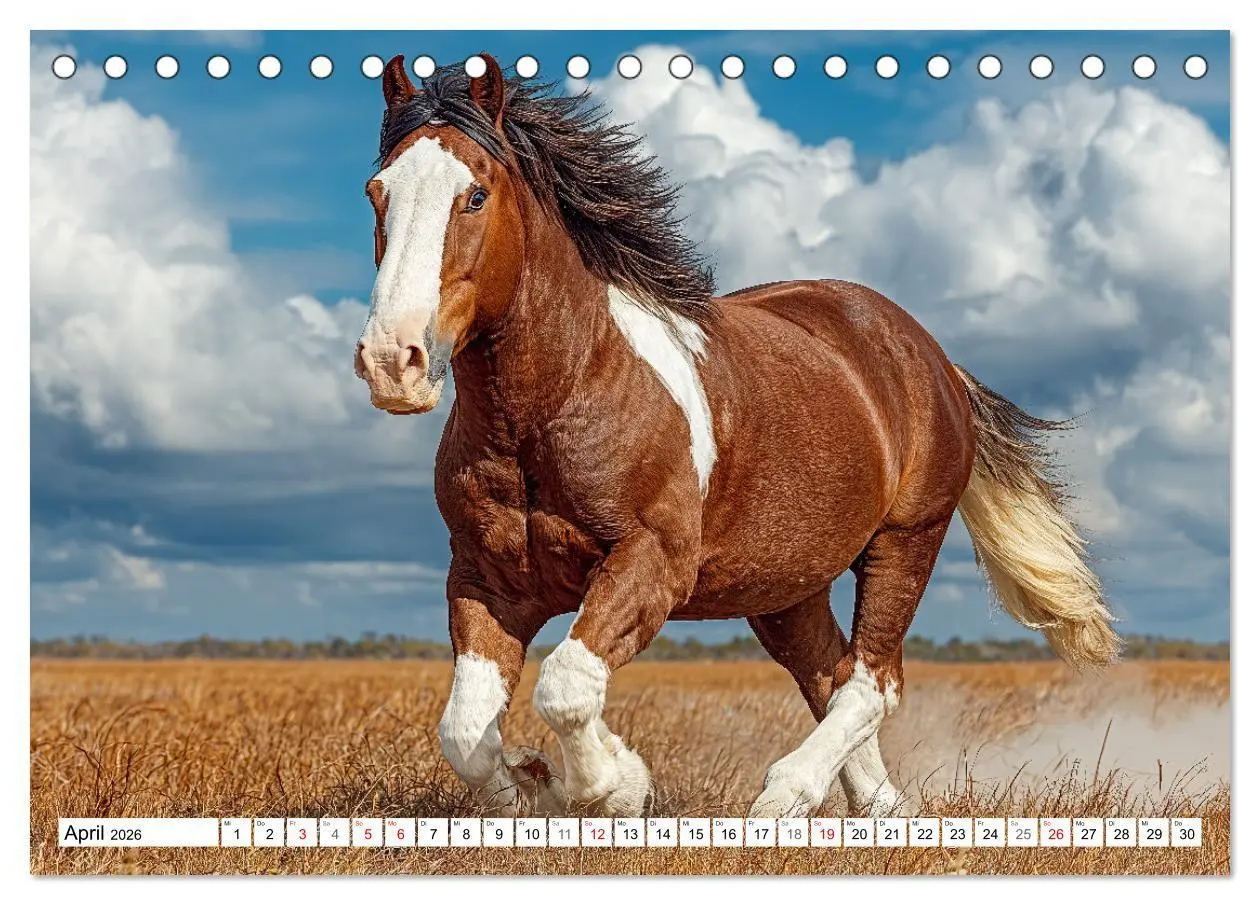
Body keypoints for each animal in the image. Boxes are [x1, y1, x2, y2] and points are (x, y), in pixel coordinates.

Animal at [353, 53, 1120, 818]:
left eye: (476, 195)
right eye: (376, 192)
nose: (394, 360)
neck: (551, 408)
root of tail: (934, 359)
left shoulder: (651, 563)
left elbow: (566, 685)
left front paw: (616, 786)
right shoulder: (486, 578)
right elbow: (465, 732)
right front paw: (534, 783)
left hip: (906, 542)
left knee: (874, 682)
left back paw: (784, 795)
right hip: (787, 586)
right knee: (832, 676)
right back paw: (876, 810)